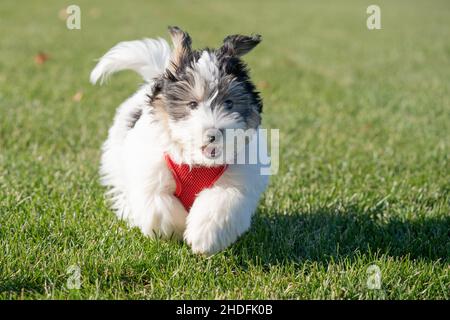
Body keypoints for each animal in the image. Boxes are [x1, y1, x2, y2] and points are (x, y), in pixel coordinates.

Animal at [89, 25, 268, 255]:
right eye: (192, 104)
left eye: (229, 103)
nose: (214, 133)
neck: (198, 163)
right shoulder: (151, 173)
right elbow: (159, 203)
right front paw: (175, 229)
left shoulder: (237, 181)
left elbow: (221, 201)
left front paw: (203, 237)